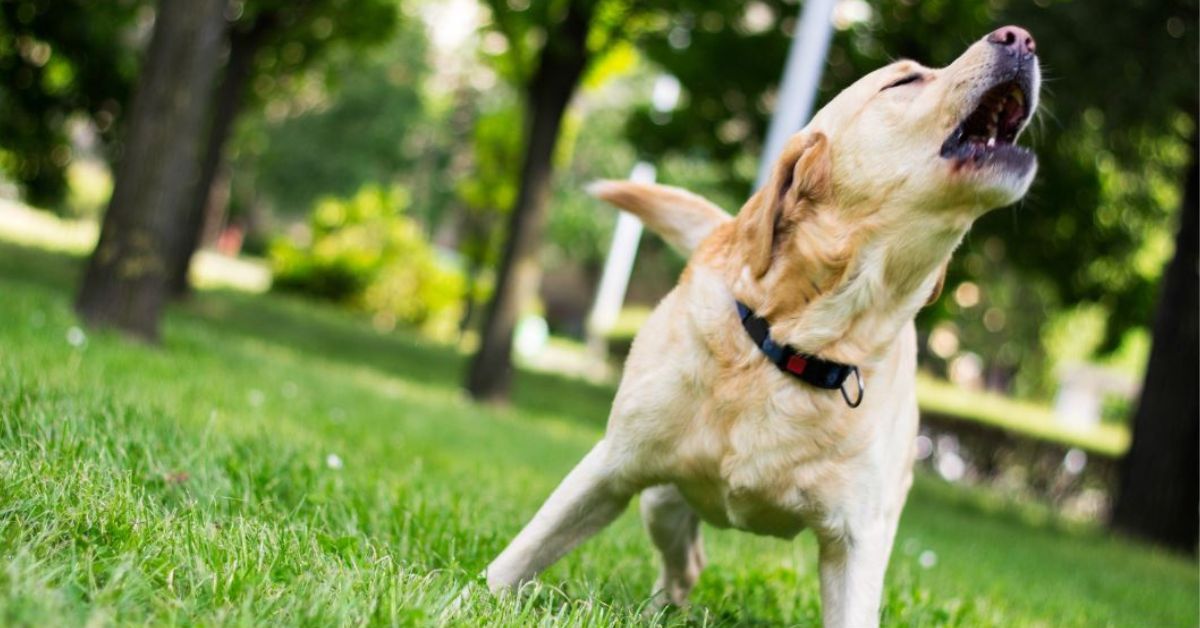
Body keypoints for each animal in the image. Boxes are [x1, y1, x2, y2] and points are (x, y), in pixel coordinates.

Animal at [487, 25, 1041, 628]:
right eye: (905, 80)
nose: (1021, 37)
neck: (799, 347)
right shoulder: (611, 466)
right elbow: (517, 557)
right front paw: (474, 597)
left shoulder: (859, 540)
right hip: (661, 499)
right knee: (683, 560)